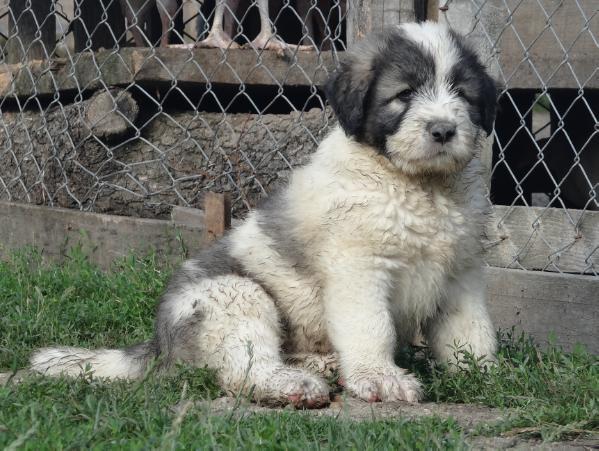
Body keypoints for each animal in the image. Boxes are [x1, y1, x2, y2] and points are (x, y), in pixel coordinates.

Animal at [29, 21, 496, 410]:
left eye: (462, 95)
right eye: (404, 95)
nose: (443, 130)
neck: (420, 187)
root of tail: (160, 345)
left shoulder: (460, 273)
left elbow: (471, 329)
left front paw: (486, 372)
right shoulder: (359, 268)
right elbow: (371, 326)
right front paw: (382, 378)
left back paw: (318, 365)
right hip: (233, 295)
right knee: (241, 369)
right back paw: (292, 385)